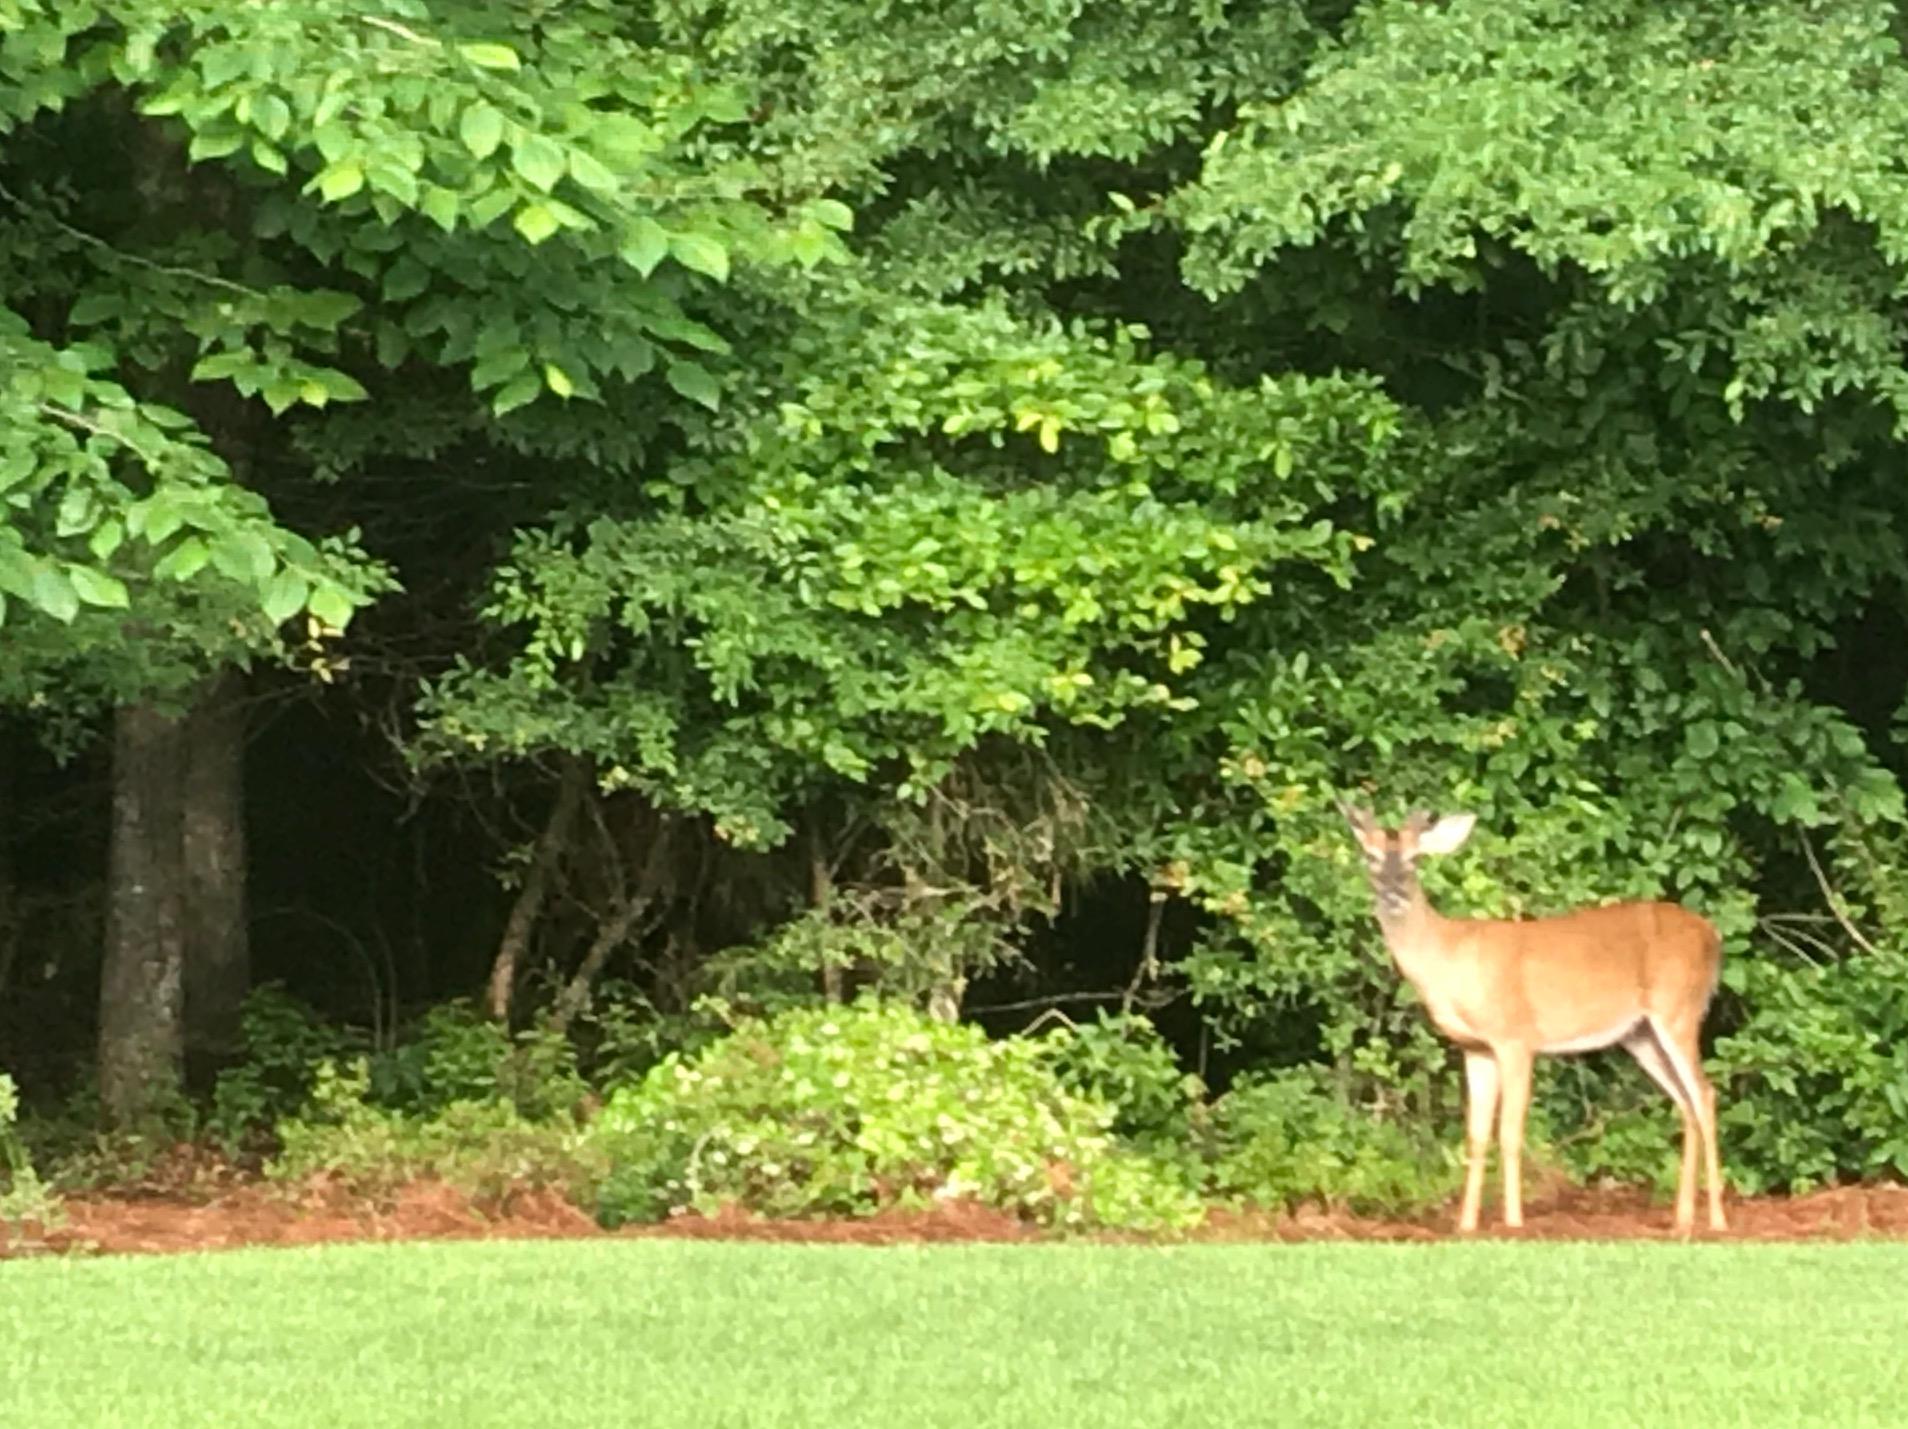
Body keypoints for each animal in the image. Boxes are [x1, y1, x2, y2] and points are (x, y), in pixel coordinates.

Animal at [1337, 802, 1727, 1235]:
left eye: (1414, 858)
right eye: (1371, 856)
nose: (1394, 894)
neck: (1449, 961)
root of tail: (1713, 936)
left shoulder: (1515, 1038)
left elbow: (1509, 1132)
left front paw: (1513, 1220)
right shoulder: (1476, 1048)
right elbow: (1476, 1135)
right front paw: (1466, 1224)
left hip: (1679, 1009)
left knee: (1705, 1094)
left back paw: (1717, 1220)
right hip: (1640, 1033)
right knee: (1685, 1101)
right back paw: (1682, 1220)